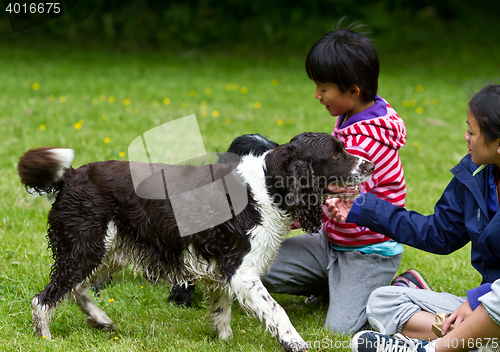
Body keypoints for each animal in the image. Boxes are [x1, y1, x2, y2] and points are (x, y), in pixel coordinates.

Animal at [17, 133, 374, 352]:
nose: (370, 164)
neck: (269, 186)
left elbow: (221, 307)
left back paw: (100, 319)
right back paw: (46, 338)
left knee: (76, 288)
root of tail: (70, 177)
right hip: (86, 247)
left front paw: (223, 339)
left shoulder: (223, 264)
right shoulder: (242, 269)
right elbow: (276, 310)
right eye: (336, 153)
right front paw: (294, 342)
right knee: (44, 299)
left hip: (105, 250)